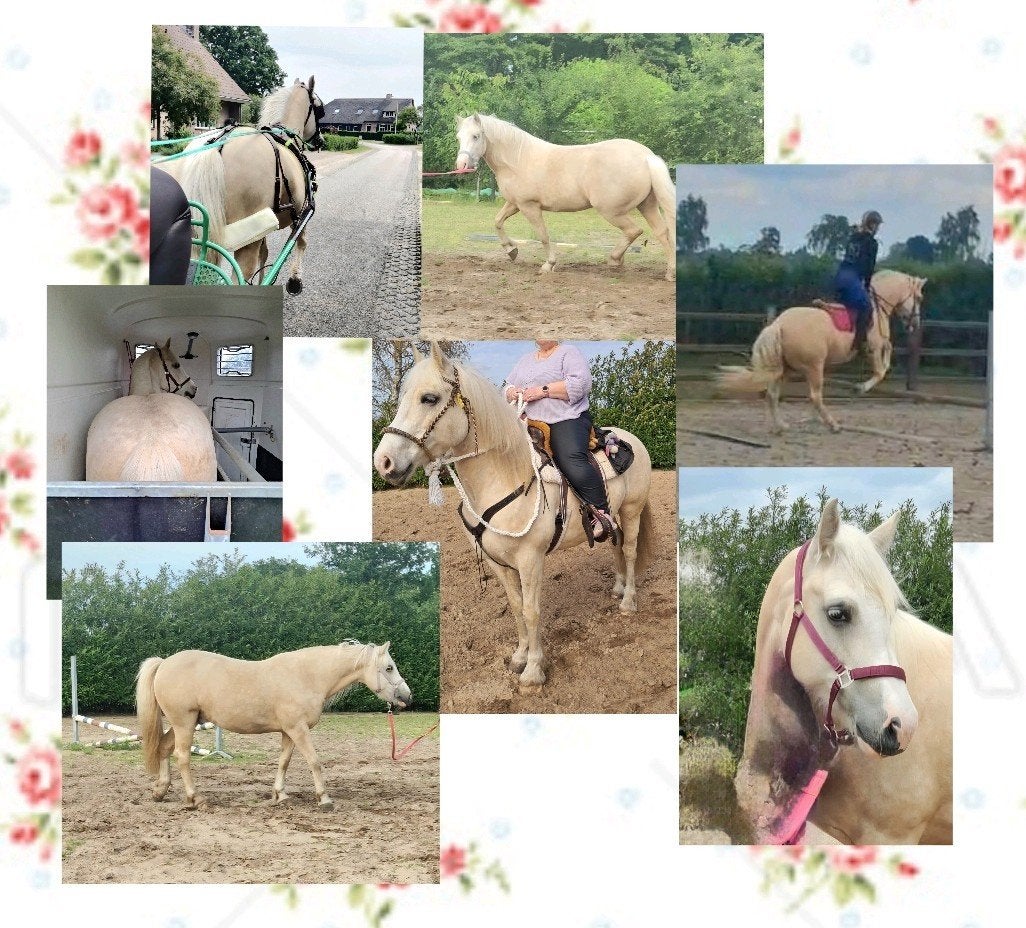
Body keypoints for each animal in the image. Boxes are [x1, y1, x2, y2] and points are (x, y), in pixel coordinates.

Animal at [136, 641, 412, 811]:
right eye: (389, 667)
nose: (407, 697)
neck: (307, 675)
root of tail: (164, 663)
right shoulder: (299, 730)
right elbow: (314, 761)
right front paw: (324, 798)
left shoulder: (289, 731)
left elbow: (284, 762)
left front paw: (281, 795)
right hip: (184, 723)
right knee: (182, 757)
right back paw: (196, 798)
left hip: (185, 723)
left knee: (164, 749)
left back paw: (160, 791)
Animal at [162, 78, 323, 292]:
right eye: (320, 109)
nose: (321, 140)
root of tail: (218, 143)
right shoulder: (302, 211)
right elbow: (301, 241)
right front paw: (295, 280)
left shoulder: (268, 224)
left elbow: (265, 253)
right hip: (248, 236)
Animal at [373, 343, 655, 688]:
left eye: (429, 398)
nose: (383, 462)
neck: (504, 477)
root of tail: (630, 440)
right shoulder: (498, 563)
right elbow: (517, 607)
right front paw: (520, 657)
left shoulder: (530, 559)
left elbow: (532, 610)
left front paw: (533, 671)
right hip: (614, 517)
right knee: (615, 545)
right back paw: (617, 588)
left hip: (632, 511)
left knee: (629, 551)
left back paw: (628, 601)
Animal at [454, 114, 676, 281]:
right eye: (459, 137)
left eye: (476, 136)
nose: (461, 165)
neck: (517, 159)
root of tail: (646, 156)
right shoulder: (514, 204)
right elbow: (498, 222)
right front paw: (511, 251)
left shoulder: (529, 206)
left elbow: (543, 235)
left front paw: (548, 265)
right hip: (646, 205)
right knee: (662, 232)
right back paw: (669, 272)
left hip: (611, 211)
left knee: (634, 231)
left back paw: (615, 260)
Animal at [716, 270, 927, 432]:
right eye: (919, 298)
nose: (915, 324)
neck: (877, 308)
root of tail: (778, 324)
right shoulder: (873, 349)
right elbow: (880, 371)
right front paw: (859, 388)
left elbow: (888, 354)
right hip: (813, 367)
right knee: (815, 396)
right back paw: (832, 425)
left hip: (786, 369)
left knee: (773, 395)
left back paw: (782, 426)